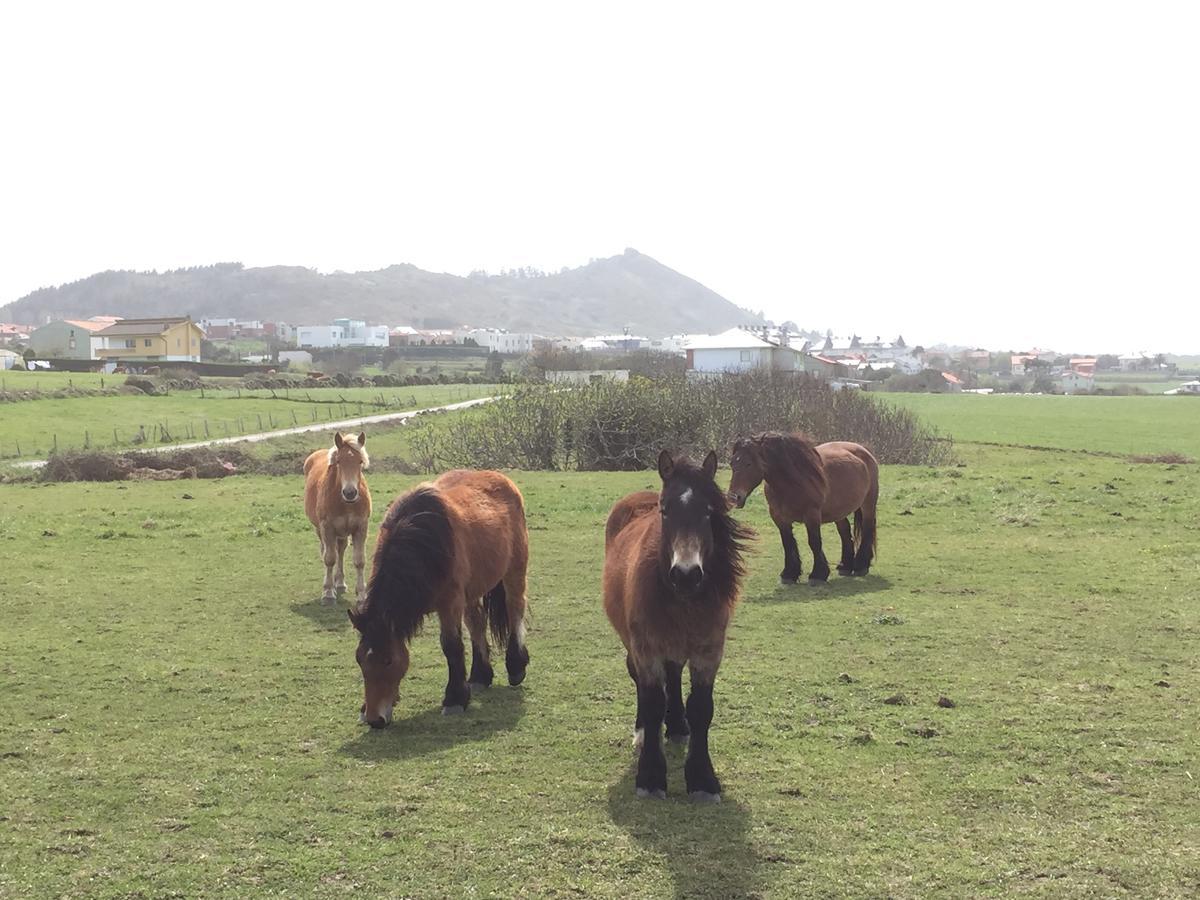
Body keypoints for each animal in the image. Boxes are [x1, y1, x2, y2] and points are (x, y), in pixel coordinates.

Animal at [304, 432, 369, 607]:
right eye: (339, 461)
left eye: (360, 461)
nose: (350, 493)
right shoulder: (327, 528)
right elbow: (329, 559)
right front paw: (327, 593)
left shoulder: (360, 527)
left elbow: (359, 560)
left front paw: (362, 594)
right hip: (320, 530)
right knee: (327, 551)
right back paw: (332, 584)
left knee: (340, 550)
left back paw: (339, 583)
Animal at [350, 472, 532, 734]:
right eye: (360, 659)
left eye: (388, 660)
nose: (375, 719)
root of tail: (502, 478)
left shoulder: (449, 604)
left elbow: (451, 646)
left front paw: (455, 699)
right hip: (472, 590)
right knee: (477, 623)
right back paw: (480, 676)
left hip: (514, 571)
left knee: (515, 608)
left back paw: (516, 667)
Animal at [600, 451, 748, 801]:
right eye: (665, 511)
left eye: (708, 511)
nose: (686, 574)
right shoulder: (646, 649)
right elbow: (653, 702)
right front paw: (651, 776)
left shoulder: (708, 652)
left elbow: (702, 708)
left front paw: (703, 780)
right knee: (642, 683)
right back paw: (644, 731)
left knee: (674, 674)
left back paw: (679, 726)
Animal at [720, 434, 883, 588]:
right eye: (732, 463)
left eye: (748, 463)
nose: (734, 497)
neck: (792, 482)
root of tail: (864, 451)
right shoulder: (779, 518)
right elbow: (788, 543)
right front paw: (789, 574)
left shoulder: (812, 515)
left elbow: (814, 542)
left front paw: (818, 575)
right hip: (838, 511)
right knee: (845, 532)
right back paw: (845, 566)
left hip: (868, 505)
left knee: (867, 529)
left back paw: (861, 566)